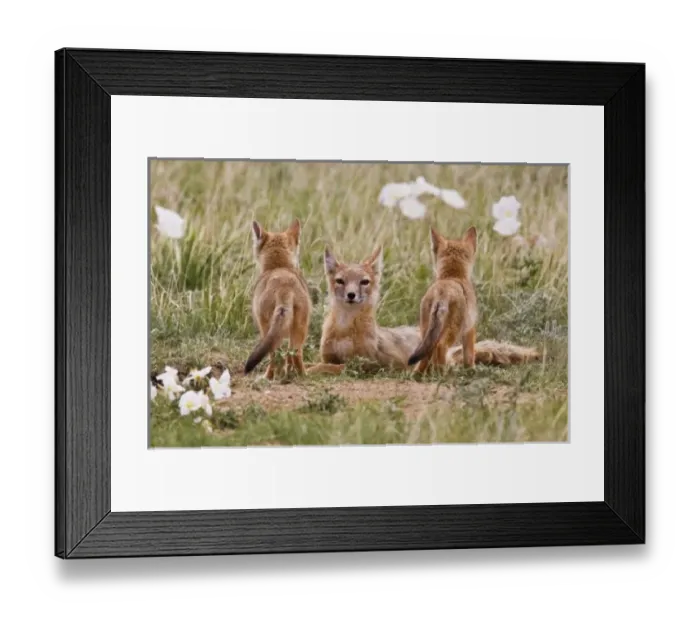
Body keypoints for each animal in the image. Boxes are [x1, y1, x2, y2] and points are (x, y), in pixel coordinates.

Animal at [243, 218, 311, 379]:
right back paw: (301, 375)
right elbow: (288, 357)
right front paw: (288, 372)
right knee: (294, 353)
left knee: (274, 354)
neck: (278, 267)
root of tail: (284, 285)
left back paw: (267, 377)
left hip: (267, 329)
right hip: (300, 328)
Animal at [408, 225, 540, 373]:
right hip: (452, 331)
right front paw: (471, 370)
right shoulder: (470, 329)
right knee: (440, 346)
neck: (453, 277)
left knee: (426, 354)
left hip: (426, 331)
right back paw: (442, 371)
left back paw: (419, 373)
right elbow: (469, 355)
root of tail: (442, 292)